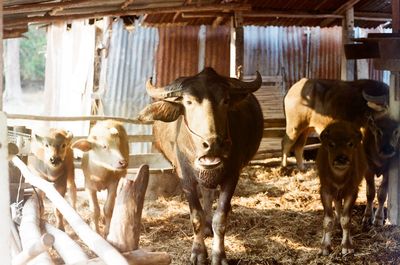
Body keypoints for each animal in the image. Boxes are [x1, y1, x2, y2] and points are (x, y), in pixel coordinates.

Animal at [139, 67, 264, 262]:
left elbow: (220, 218)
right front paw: (198, 252)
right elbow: (196, 216)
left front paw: (219, 254)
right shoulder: (185, 177)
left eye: (225, 100)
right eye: (188, 102)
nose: (213, 144)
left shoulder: (232, 175)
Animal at [318, 120, 368, 255]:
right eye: (331, 144)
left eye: (350, 143)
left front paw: (347, 245)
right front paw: (325, 246)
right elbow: (328, 220)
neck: (338, 178)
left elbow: (346, 220)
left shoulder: (352, 192)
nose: (341, 159)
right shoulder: (325, 191)